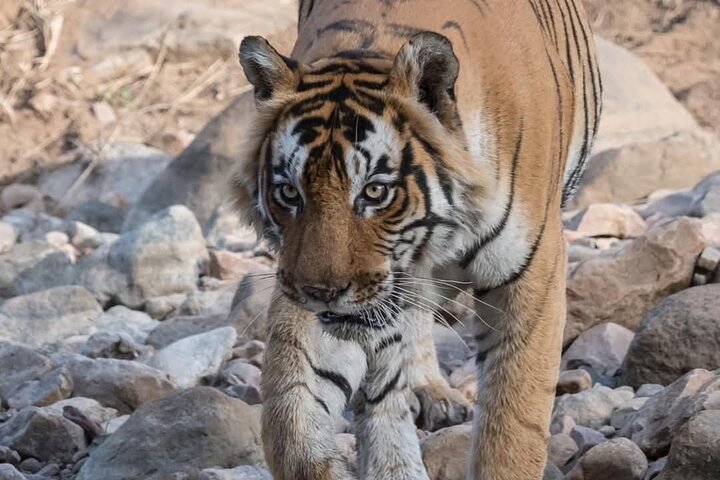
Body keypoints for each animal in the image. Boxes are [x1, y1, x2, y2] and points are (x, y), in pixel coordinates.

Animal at [232, 0, 601, 479]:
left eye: (375, 191)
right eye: (290, 193)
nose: (323, 292)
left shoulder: (531, 275)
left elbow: (513, 421)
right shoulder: (306, 289)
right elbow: (292, 415)